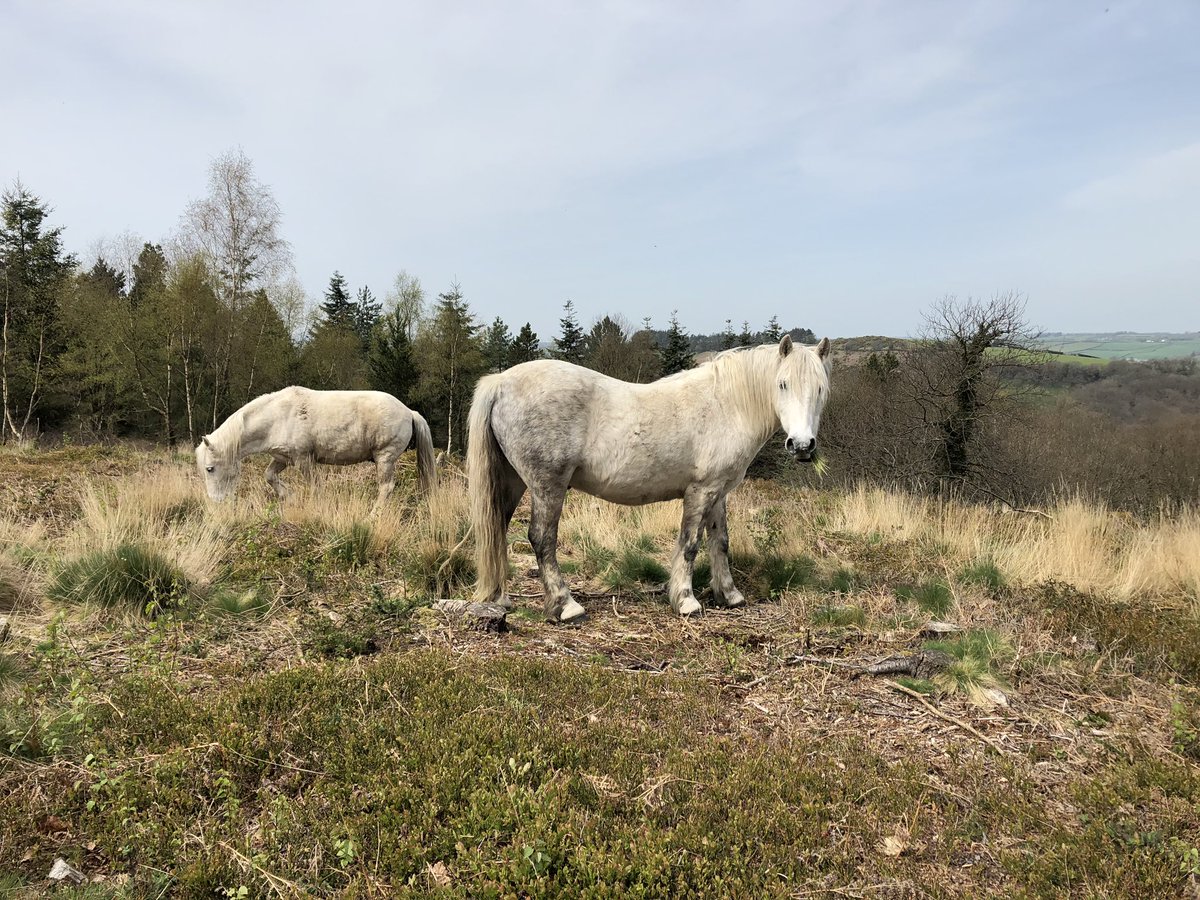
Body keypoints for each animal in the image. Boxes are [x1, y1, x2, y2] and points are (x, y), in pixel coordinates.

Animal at [195, 386, 436, 509]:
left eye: (210, 469)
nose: (216, 502)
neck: (278, 416)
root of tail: (408, 411)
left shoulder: (304, 459)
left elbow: (315, 487)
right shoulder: (283, 458)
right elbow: (269, 476)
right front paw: (288, 496)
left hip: (385, 458)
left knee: (386, 488)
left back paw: (374, 514)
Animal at [468, 334, 831, 622]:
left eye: (820, 389)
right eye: (782, 384)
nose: (802, 446)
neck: (726, 406)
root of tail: (500, 382)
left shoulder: (719, 492)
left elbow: (720, 542)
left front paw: (729, 595)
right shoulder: (701, 491)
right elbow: (690, 544)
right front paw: (686, 601)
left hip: (513, 482)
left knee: (497, 528)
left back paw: (500, 599)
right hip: (547, 485)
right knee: (542, 539)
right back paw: (566, 606)